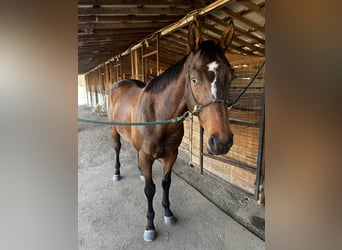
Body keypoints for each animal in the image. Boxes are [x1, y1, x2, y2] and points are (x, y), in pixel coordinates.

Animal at [109, 21, 235, 240]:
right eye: (194, 80)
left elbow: (166, 183)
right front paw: (150, 226)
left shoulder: (171, 155)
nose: (222, 141)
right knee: (117, 149)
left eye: (229, 77)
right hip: (115, 132)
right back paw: (117, 172)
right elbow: (150, 189)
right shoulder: (146, 156)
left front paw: (168, 213)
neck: (158, 117)